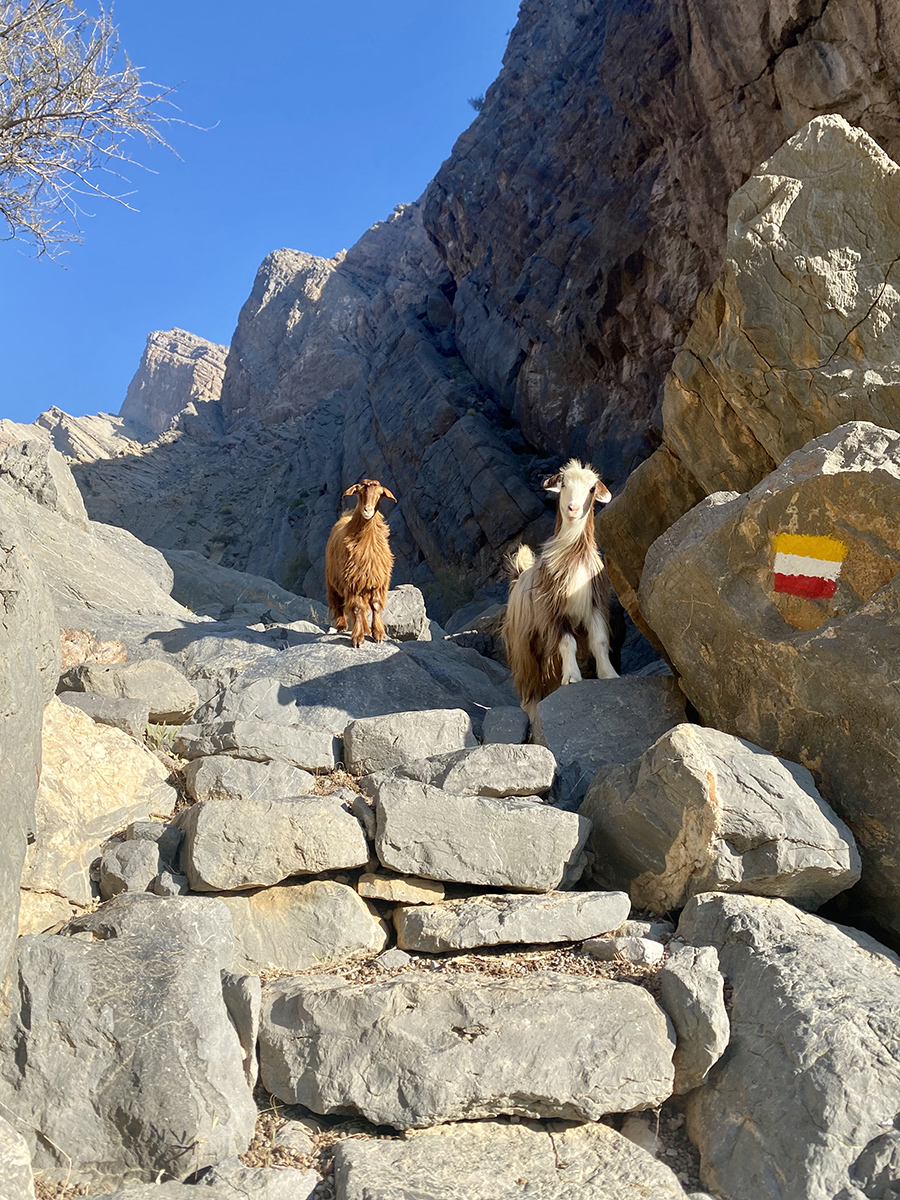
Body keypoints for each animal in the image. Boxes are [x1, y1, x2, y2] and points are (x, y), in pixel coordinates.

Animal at [325, 478, 396, 647]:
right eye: (359, 492)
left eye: (379, 494)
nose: (367, 510)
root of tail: (345, 516)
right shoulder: (352, 582)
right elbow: (357, 608)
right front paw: (357, 639)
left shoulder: (376, 581)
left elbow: (374, 605)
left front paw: (377, 634)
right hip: (332, 581)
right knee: (338, 602)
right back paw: (342, 625)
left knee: (363, 610)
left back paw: (366, 629)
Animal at [502, 459, 618, 719]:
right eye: (563, 484)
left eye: (592, 489)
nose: (573, 508)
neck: (572, 558)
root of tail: (518, 576)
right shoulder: (553, 612)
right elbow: (568, 643)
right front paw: (573, 677)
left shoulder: (595, 604)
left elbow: (599, 640)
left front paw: (609, 674)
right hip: (522, 642)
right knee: (529, 680)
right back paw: (530, 710)